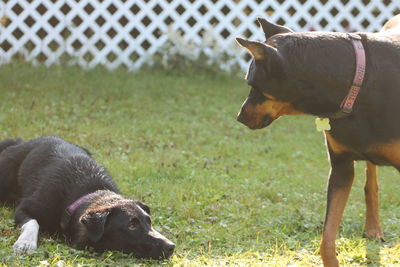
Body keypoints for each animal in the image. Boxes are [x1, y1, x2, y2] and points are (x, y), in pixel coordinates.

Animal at [0, 136, 175, 260]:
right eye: (132, 225)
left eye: (149, 222)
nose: (171, 246)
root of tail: (21, 142)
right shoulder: (25, 208)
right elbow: (33, 222)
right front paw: (26, 242)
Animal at [236, 15, 398, 266]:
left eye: (252, 84)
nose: (240, 117)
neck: (357, 86)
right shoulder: (341, 168)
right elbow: (327, 238)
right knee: (371, 182)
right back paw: (373, 228)